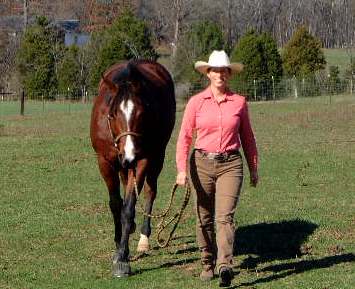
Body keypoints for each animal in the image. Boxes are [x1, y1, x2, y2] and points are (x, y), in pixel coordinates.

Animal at [90, 59, 177, 276]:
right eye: (112, 114)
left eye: (142, 112)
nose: (129, 155)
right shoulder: (104, 162)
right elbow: (115, 204)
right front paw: (117, 242)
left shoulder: (142, 160)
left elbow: (128, 208)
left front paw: (122, 257)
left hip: (156, 157)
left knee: (150, 191)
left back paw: (143, 239)